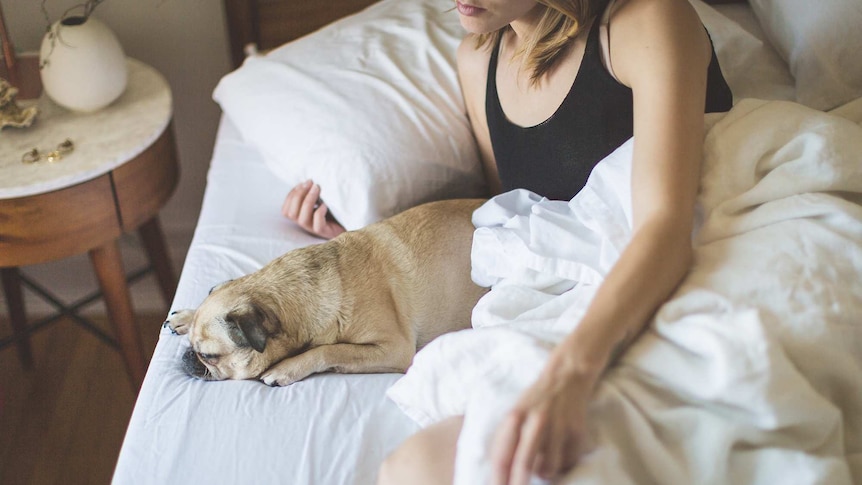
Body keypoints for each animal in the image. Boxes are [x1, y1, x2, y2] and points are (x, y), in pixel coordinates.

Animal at [165, 198, 490, 386]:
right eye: (193, 346)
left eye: (208, 355)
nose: (187, 356)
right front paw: (186, 316)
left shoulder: (393, 348)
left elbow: (330, 349)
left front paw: (287, 368)